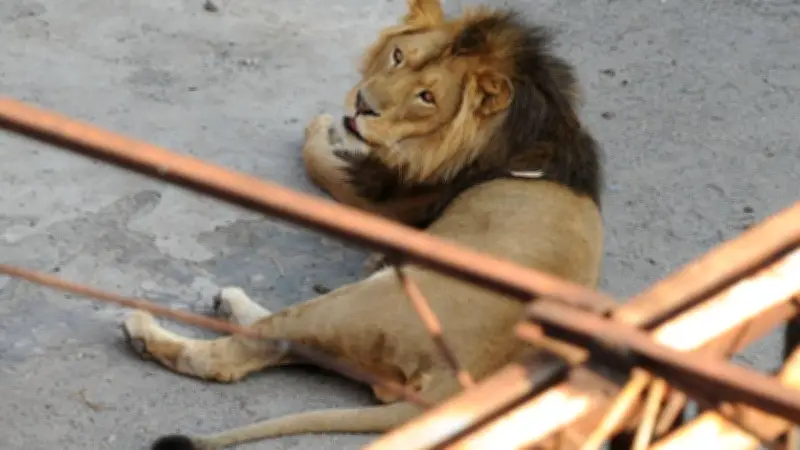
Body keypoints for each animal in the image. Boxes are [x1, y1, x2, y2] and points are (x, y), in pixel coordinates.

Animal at [121, 1, 605, 448]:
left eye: (427, 97)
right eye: (398, 56)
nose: (362, 104)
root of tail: (460, 387)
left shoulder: (387, 200)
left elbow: (320, 160)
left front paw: (323, 129)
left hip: (358, 305)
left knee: (237, 355)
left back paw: (145, 331)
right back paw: (229, 301)